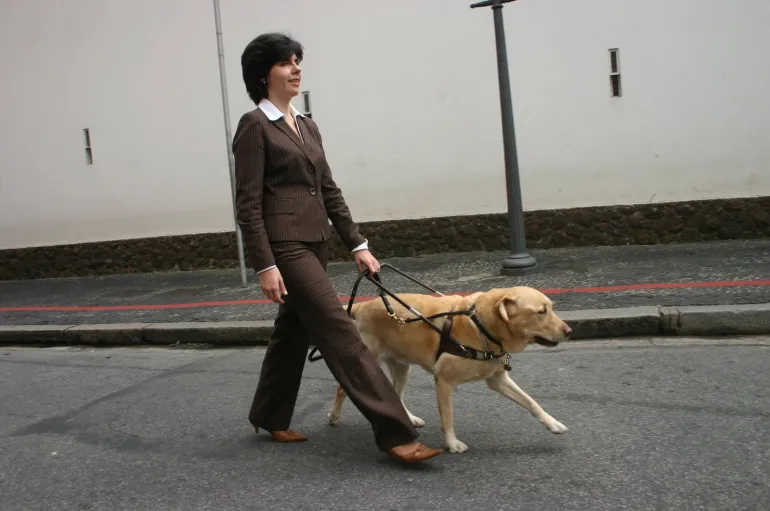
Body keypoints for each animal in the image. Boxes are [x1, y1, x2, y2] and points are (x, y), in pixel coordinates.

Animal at [328, 286, 572, 454]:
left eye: (551, 308)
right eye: (541, 311)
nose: (569, 331)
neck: (481, 327)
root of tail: (364, 304)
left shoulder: (497, 379)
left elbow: (531, 402)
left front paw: (553, 423)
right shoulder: (444, 381)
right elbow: (448, 416)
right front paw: (452, 443)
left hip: (402, 367)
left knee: (396, 394)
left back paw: (409, 418)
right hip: (367, 358)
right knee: (342, 390)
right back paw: (333, 416)